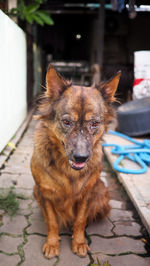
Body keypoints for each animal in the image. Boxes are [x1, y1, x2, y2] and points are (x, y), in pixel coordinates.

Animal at [30, 65, 120, 258]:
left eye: (94, 123)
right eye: (66, 122)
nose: (80, 157)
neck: (67, 167)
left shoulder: (87, 194)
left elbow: (80, 220)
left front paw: (79, 242)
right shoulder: (44, 192)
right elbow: (52, 221)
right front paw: (52, 244)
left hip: (102, 193)